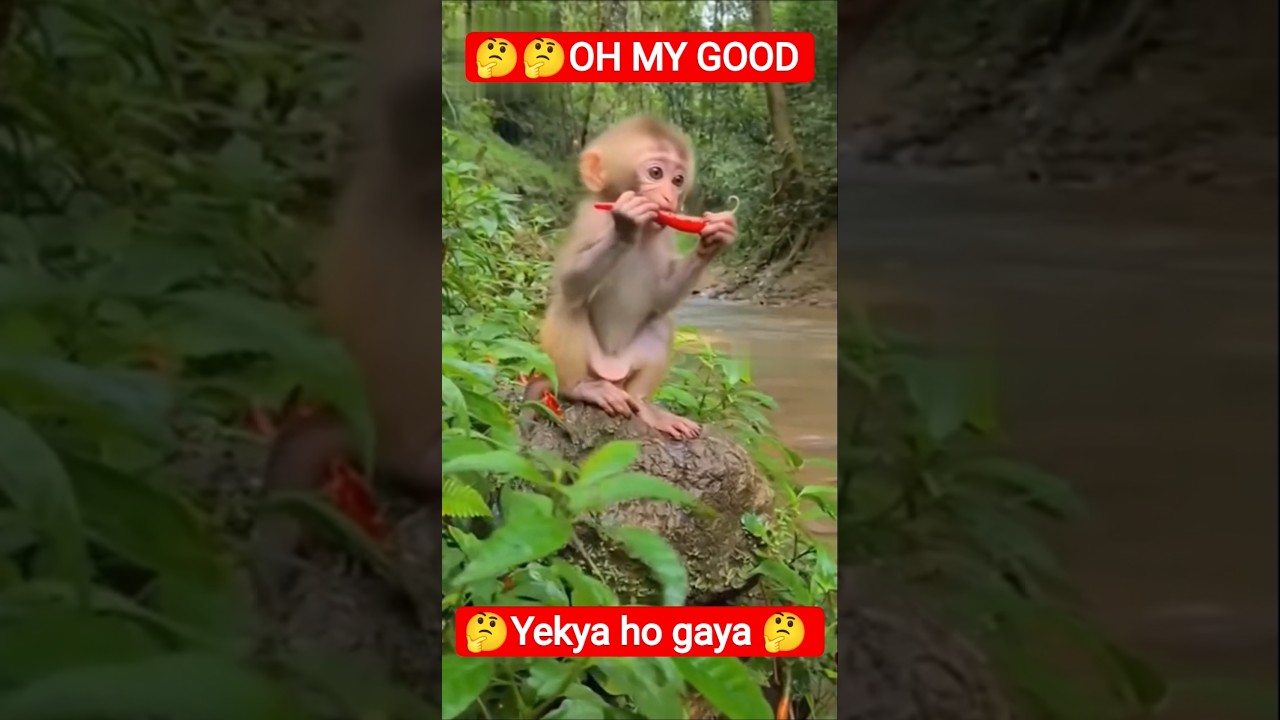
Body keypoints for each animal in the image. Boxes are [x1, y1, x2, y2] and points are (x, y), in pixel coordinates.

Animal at [529, 116, 737, 440]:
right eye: (656, 173)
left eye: (678, 180)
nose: (669, 197)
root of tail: (611, 372)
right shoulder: (591, 219)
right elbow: (571, 285)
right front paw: (626, 224)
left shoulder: (667, 234)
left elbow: (662, 297)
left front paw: (714, 240)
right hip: (583, 365)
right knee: (569, 308)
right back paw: (581, 388)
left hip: (628, 369)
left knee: (660, 323)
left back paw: (647, 407)